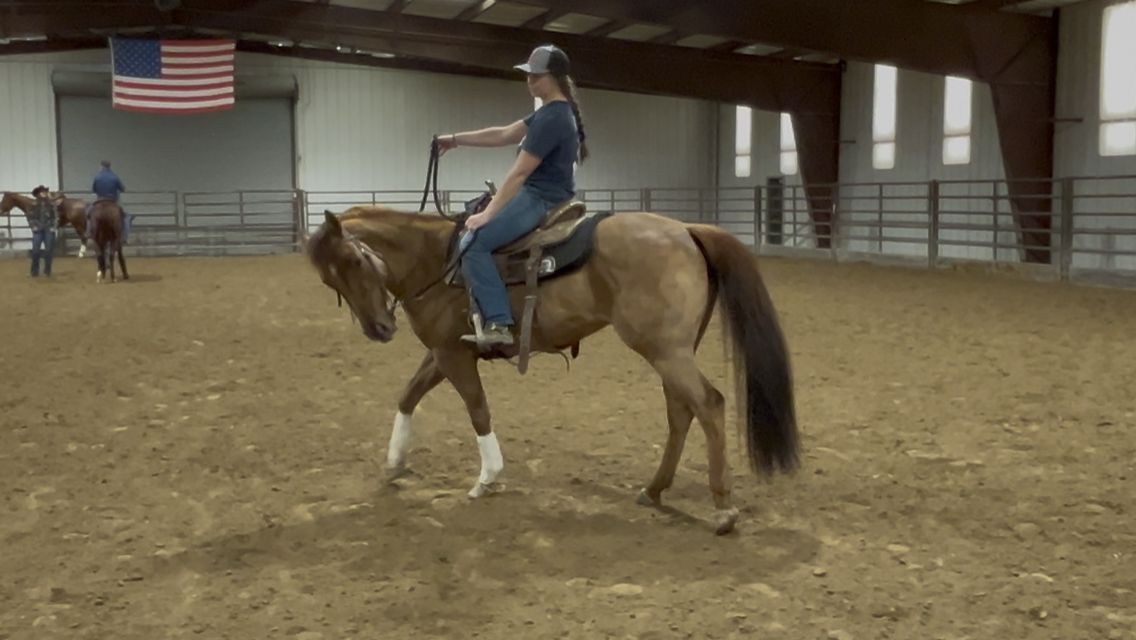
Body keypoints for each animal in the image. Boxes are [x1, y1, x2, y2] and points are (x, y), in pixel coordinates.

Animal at [305, 205, 798, 535]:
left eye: (354, 261)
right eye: (330, 280)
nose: (378, 328)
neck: (439, 263)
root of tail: (686, 230)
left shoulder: (453, 356)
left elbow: (478, 410)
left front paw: (488, 478)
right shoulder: (444, 353)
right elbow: (408, 395)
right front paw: (394, 463)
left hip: (666, 350)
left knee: (708, 404)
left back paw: (723, 510)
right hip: (671, 351)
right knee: (681, 410)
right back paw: (654, 490)